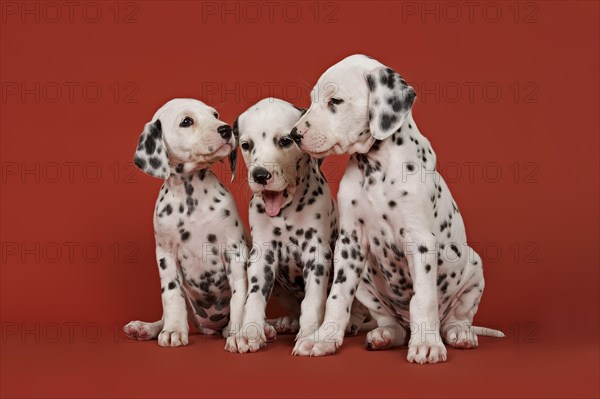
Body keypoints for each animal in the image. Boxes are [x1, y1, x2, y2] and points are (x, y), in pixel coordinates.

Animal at [124, 98, 248, 352]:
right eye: (187, 121)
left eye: (215, 114)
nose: (226, 129)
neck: (192, 198)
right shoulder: (165, 254)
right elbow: (171, 295)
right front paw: (173, 330)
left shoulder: (235, 251)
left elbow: (240, 296)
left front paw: (239, 334)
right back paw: (146, 328)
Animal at [233, 98, 370, 354]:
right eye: (246, 145)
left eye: (286, 141)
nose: (260, 175)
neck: (285, 212)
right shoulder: (261, 254)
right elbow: (254, 296)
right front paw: (248, 333)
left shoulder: (316, 252)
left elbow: (313, 300)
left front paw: (309, 333)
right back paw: (284, 323)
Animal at [288, 54, 504, 364]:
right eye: (313, 100)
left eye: (335, 101)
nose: (294, 134)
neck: (376, 168)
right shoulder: (350, 243)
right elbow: (337, 297)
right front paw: (323, 339)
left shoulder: (420, 241)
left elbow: (423, 299)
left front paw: (427, 344)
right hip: (366, 282)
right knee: (393, 325)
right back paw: (384, 335)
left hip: (474, 269)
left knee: (456, 319)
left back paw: (458, 334)